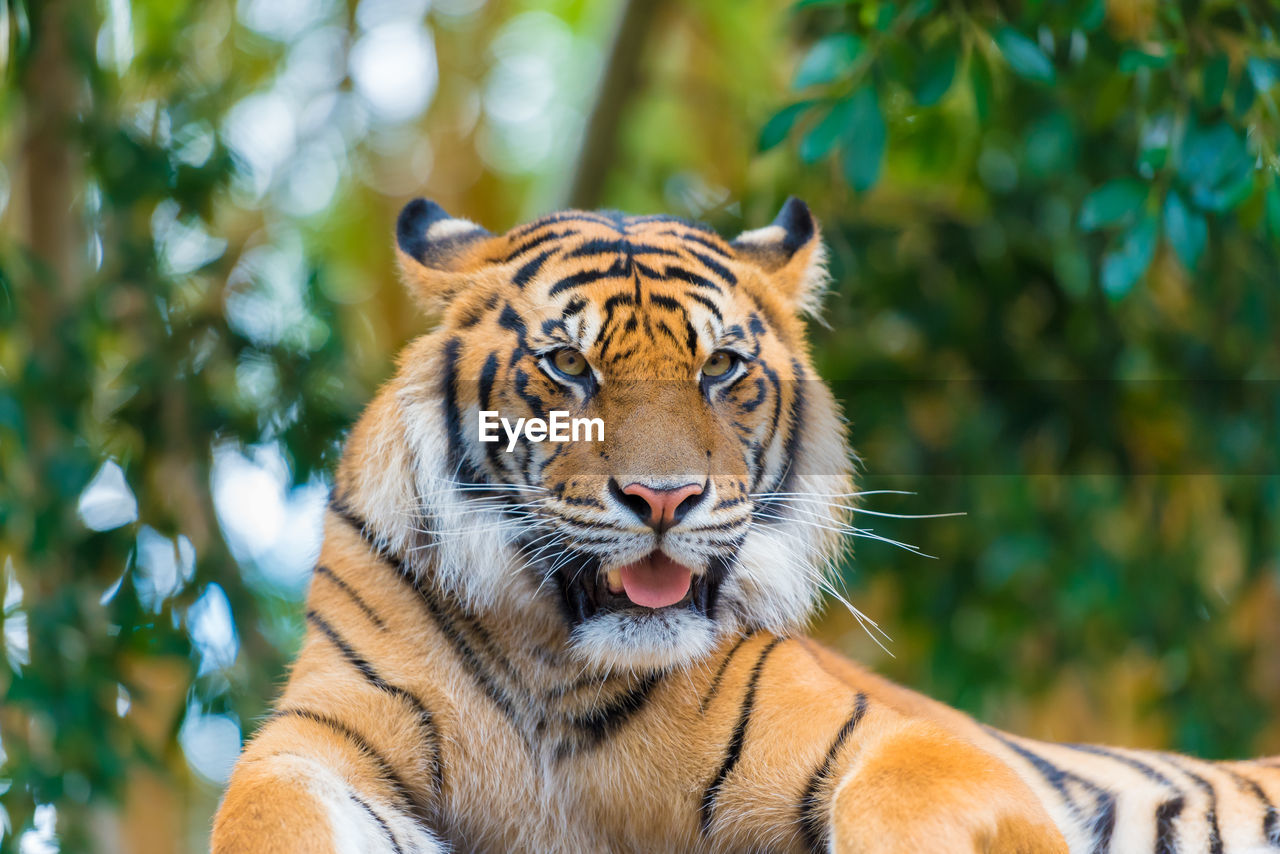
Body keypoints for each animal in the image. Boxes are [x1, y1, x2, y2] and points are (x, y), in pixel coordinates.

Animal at [209, 197, 1280, 850]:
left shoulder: (916, 744)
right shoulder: (319, 739)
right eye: (568, 366)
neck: (556, 666)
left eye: (720, 367)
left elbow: (904, 797)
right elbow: (259, 811)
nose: (663, 499)